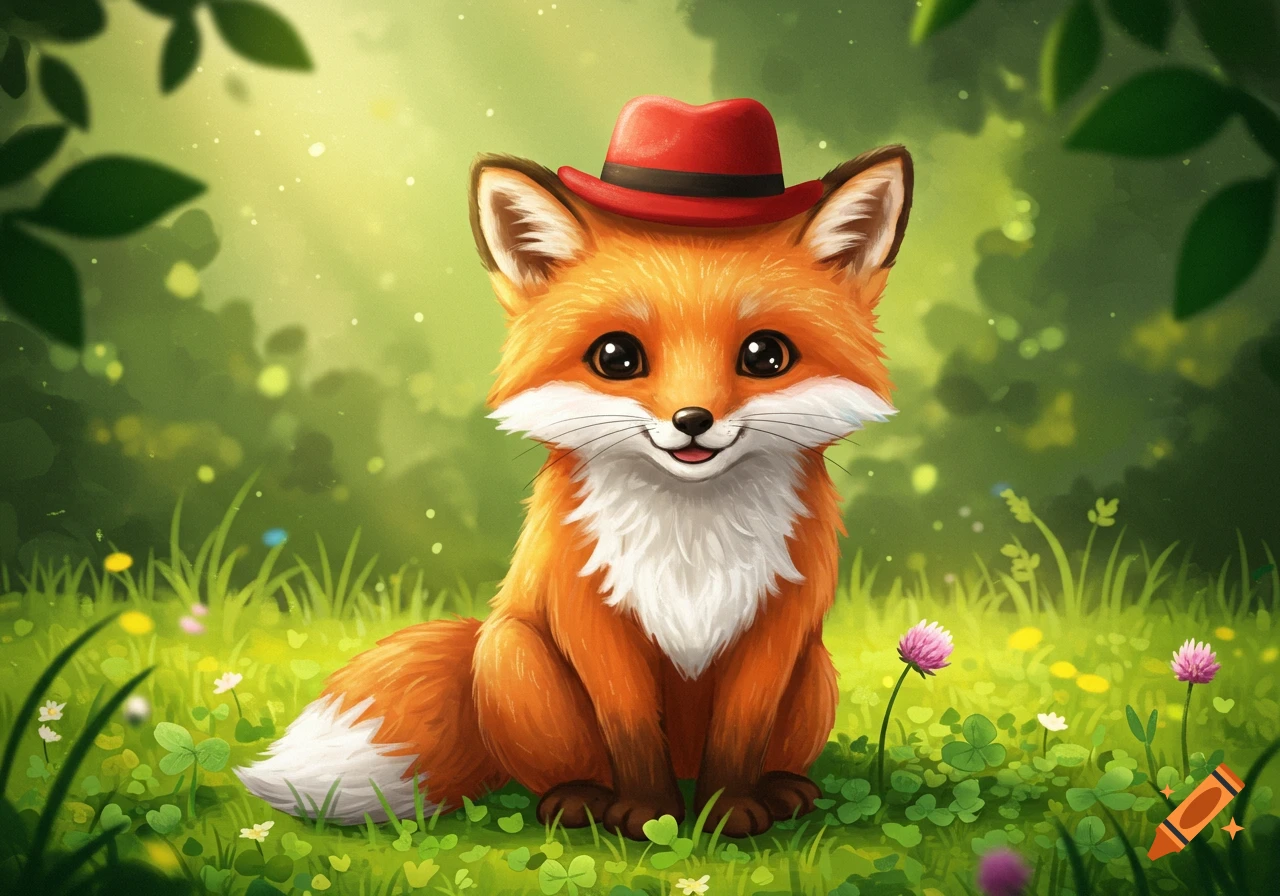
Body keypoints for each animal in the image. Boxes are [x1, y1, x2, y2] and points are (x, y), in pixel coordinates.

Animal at [237, 96, 912, 839]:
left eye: (765, 355)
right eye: (616, 357)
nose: (693, 419)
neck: (689, 539)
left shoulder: (778, 626)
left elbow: (740, 732)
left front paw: (728, 809)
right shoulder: (589, 614)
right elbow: (629, 730)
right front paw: (648, 815)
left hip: (815, 674)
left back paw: (782, 789)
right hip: (515, 656)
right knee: (565, 762)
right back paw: (581, 799)